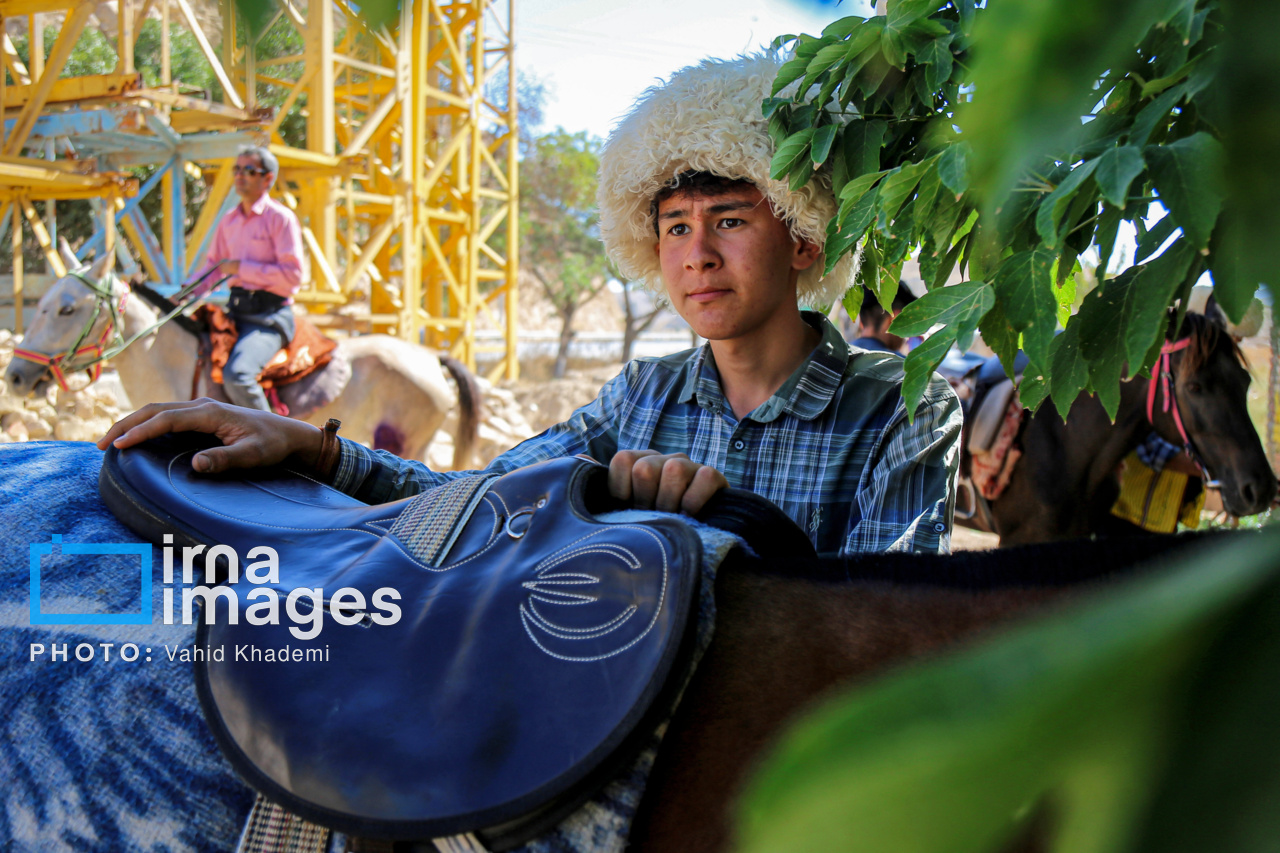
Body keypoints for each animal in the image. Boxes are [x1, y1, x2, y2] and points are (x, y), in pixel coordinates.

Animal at [3, 249, 481, 468]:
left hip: (411, 439)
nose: (16, 375)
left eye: (67, 308)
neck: (174, 359)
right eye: (41, 302)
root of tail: (432, 357)